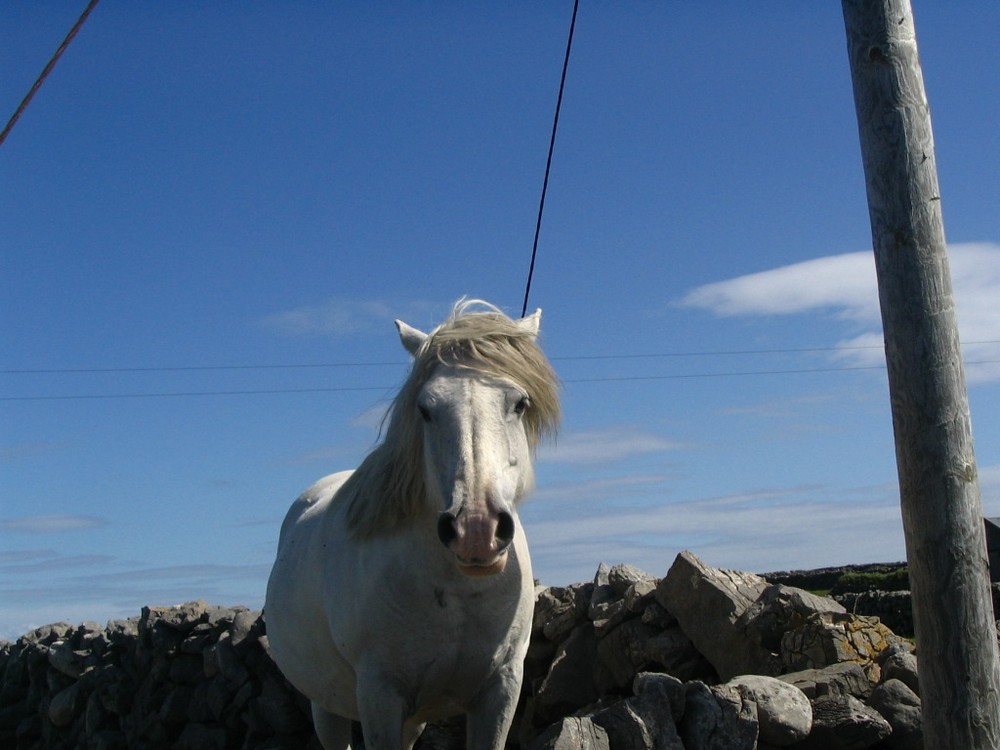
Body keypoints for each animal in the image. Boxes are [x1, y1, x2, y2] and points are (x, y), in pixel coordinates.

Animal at [266, 302, 564, 750]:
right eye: (425, 409)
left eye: (519, 404)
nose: (476, 531)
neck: (457, 590)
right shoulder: (380, 697)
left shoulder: (500, 691)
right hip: (327, 704)